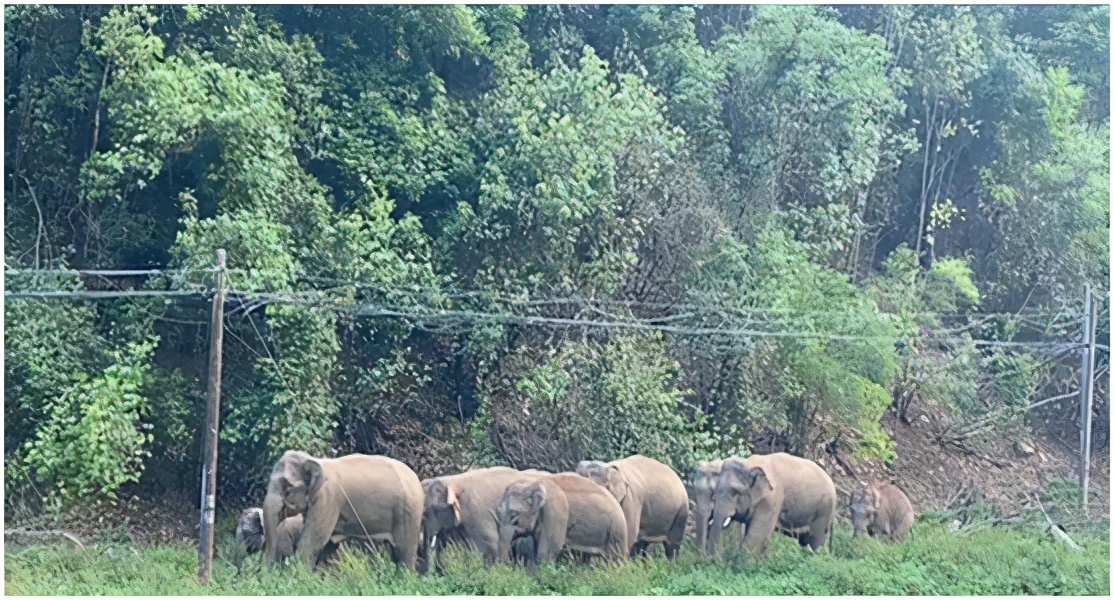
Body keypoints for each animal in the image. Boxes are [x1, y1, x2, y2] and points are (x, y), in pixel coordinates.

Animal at [260, 449, 425, 574]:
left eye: (287, 488)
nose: (268, 574)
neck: (313, 460)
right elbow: (327, 545)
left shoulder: (328, 498)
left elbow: (311, 542)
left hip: (409, 512)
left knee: (405, 550)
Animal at [496, 471, 628, 565]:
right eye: (499, 513)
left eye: (514, 516)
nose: (506, 563)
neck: (532, 483)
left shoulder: (555, 510)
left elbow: (548, 551)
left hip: (615, 531)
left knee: (615, 559)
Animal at [704, 454, 837, 556]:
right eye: (714, 491)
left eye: (735, 492)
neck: (749, 464)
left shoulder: (772, 499)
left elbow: (756, 537)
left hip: (824, 511)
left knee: (815, 541)